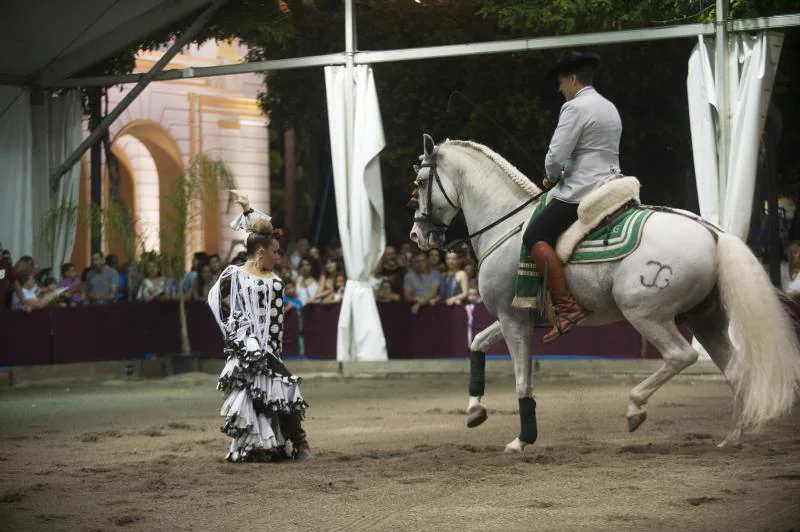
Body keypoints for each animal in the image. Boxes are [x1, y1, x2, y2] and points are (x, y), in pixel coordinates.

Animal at [410, 135, 800, 450]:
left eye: (420, 181)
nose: (417, 236)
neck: (507, 224)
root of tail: (713, 232)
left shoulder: (513, 320)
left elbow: (522, 381)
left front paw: (523, 439)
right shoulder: (515, 318)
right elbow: (476, 344)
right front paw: (475, 410)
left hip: (646, 313)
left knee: (680, 356)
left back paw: (635, 407)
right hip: (707, 319)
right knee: (736, 372)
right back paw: (731, 438)